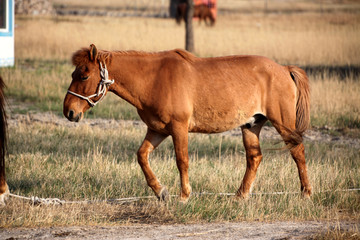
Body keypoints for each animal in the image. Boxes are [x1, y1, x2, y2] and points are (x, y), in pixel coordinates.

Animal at [64, 45, 312, 202]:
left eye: (84, 76)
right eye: (73, 74)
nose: (69, 111)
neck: (154, 79)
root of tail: (284, 69)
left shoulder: (179, 128)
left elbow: (182, 161)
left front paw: (184, 196)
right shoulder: (157, 130)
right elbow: (141, 156)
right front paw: (161, 192)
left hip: (282, 123)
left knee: (298, 151)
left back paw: (306, 193)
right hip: (251, 125)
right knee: (254, 158)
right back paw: (240, 196)